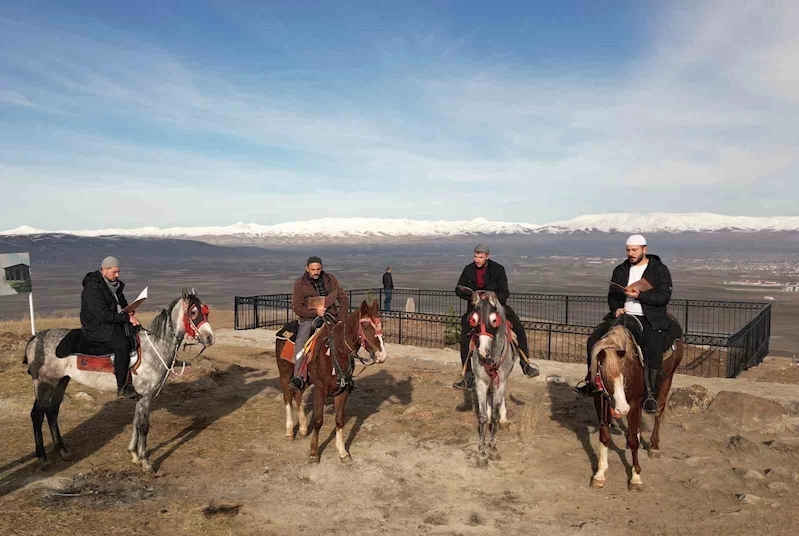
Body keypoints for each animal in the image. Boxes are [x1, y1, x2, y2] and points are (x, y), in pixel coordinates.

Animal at [24, 288, 216, 468]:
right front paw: (145, 461)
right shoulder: (146, 396)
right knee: (37, 414)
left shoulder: (140, 397)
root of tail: (34, 339)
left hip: (61, 382)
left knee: (52, 412)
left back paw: (63, 451)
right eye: (193, 312)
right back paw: (42, 457)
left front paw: (134, 454)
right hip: (45, 384)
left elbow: (135, 423)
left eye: (206, 311)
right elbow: (144, 427)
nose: (209, 338)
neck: (154, 347)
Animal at [276, 300, 388, 462]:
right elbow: (318, 420)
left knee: (298, 394)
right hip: (284, 374)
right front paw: (314, 452)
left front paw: (342, 451)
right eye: (367, 326)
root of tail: (283, 330)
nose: (382, 355)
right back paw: (290, 431)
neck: (336, 351)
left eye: (381, 324)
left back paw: (303, 428)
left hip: (305, 379)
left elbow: (340, 420)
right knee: (287, 398)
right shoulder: (320, 389)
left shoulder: (343, 391)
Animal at [462, 286, 520, 466]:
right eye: (473, 320)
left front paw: (493, 448)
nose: (482, 352)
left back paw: (503, 417)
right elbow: (482, 417)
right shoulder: (481, 382)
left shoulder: (500, 382)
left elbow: (495, 415)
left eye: (494, 320)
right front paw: (481, 451)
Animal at [592, 316, 684, 492]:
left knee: (658, 412)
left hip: (667, 380)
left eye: (625, 373)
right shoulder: (600, 400)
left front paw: (635, 478)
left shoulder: (633, 402)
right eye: (605, 376)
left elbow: (633, 441)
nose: (622, 409)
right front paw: (600, 474)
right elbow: (604, 436)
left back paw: (654, 447)